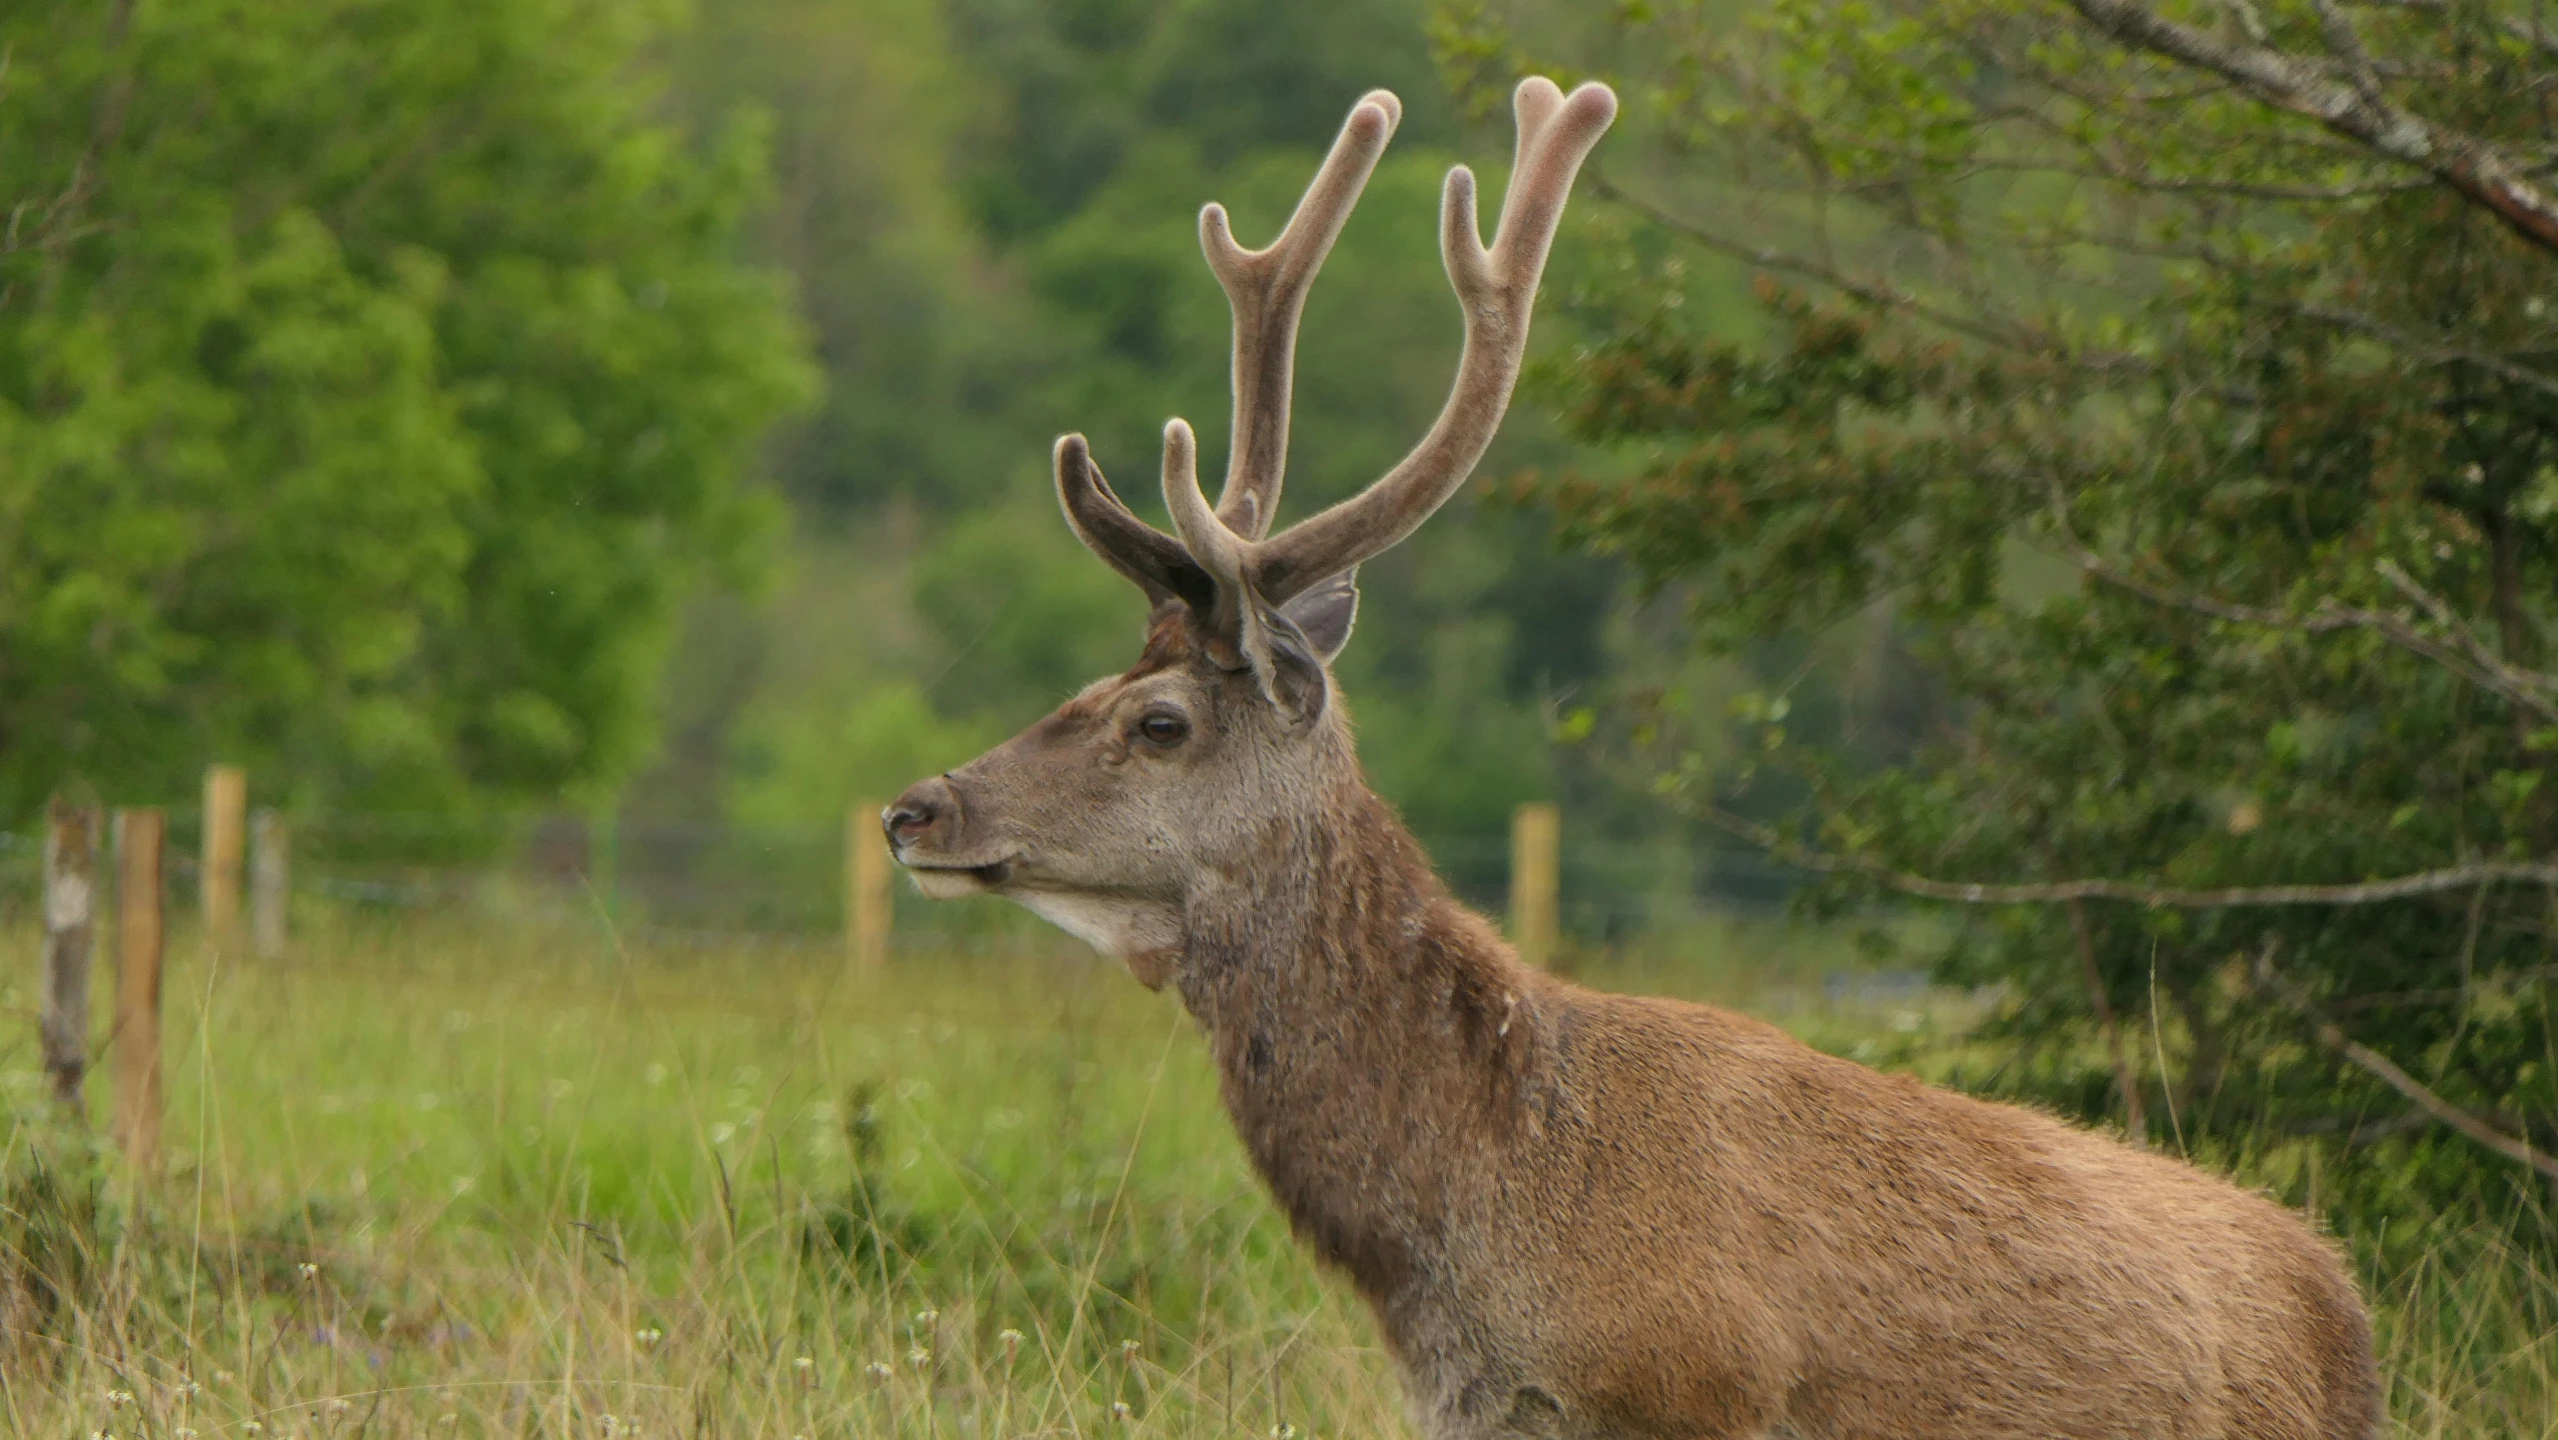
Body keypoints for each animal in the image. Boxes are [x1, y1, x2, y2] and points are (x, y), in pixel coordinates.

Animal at [879, 76, 2373, 1440]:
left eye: (1159, 722)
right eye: (1087, 680)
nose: (914, 809)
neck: (1482, 1232)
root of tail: (2340, 1299)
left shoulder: (1694, 1394)